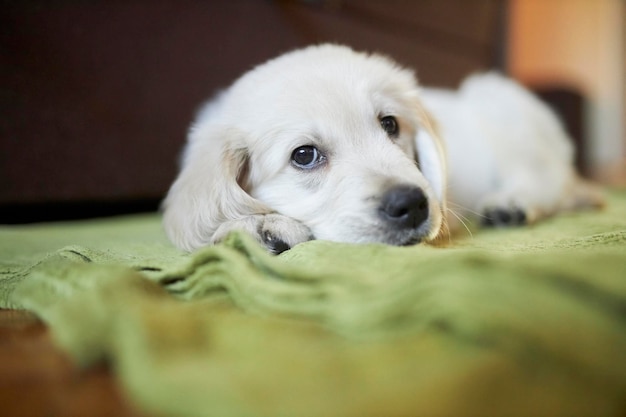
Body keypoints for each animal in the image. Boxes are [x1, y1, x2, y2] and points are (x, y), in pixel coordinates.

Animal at [163, 44, 604, 254]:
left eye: (390, 124)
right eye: (304, 155)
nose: (411, 205)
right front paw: (257, 226)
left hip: (506, 113)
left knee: (550, 182)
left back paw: (511, 204)